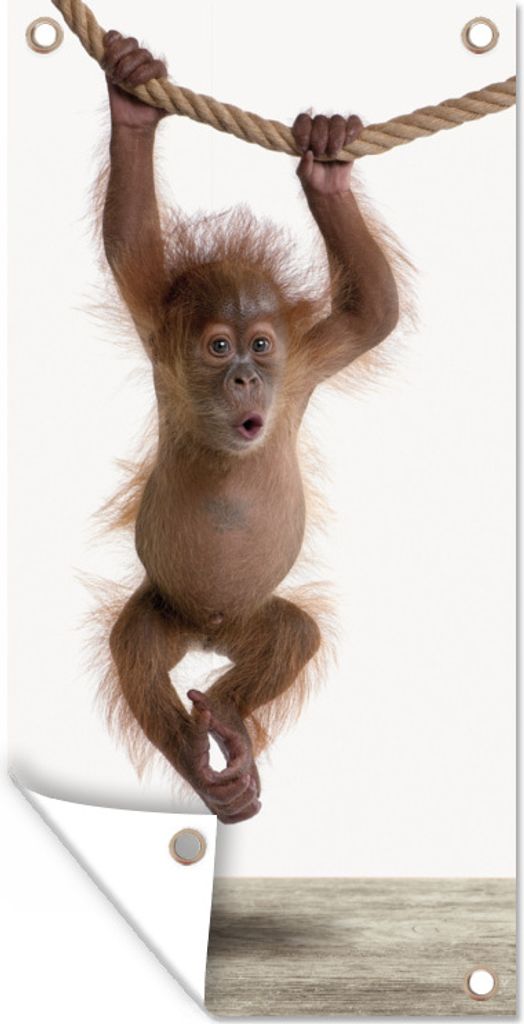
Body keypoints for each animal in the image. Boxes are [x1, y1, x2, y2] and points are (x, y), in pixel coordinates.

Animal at [97, 31, 400, 824]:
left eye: (261, 345)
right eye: (218, 347)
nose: (244, 378)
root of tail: (209, 633)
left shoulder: (307, 364)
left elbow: (374, 311)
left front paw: (326, 164)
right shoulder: (159, 333)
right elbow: (129, 240)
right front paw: (132, 103)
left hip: (251, 619)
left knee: (292, 634)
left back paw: (230, 727)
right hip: (167, 609)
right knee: (136, 648)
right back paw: (209, 770)